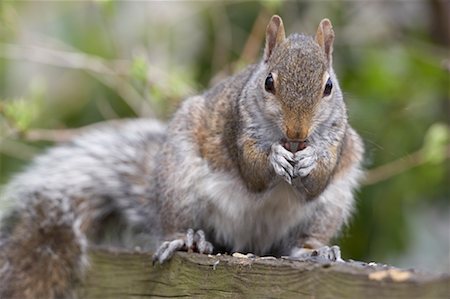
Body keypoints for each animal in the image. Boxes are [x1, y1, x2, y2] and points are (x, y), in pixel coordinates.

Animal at [0, 15, 364, 299]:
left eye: (329, 87)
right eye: (268, 82)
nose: (297, 133)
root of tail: (249, 242)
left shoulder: (340, 141)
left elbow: (319, 180)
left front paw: (311, 158)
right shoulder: (237, 127)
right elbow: (252, 172)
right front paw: (274, 156)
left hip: (329, 207)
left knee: (301, 239)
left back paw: (313, 250)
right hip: (179, 181)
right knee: (179, 224)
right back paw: (187, 240)